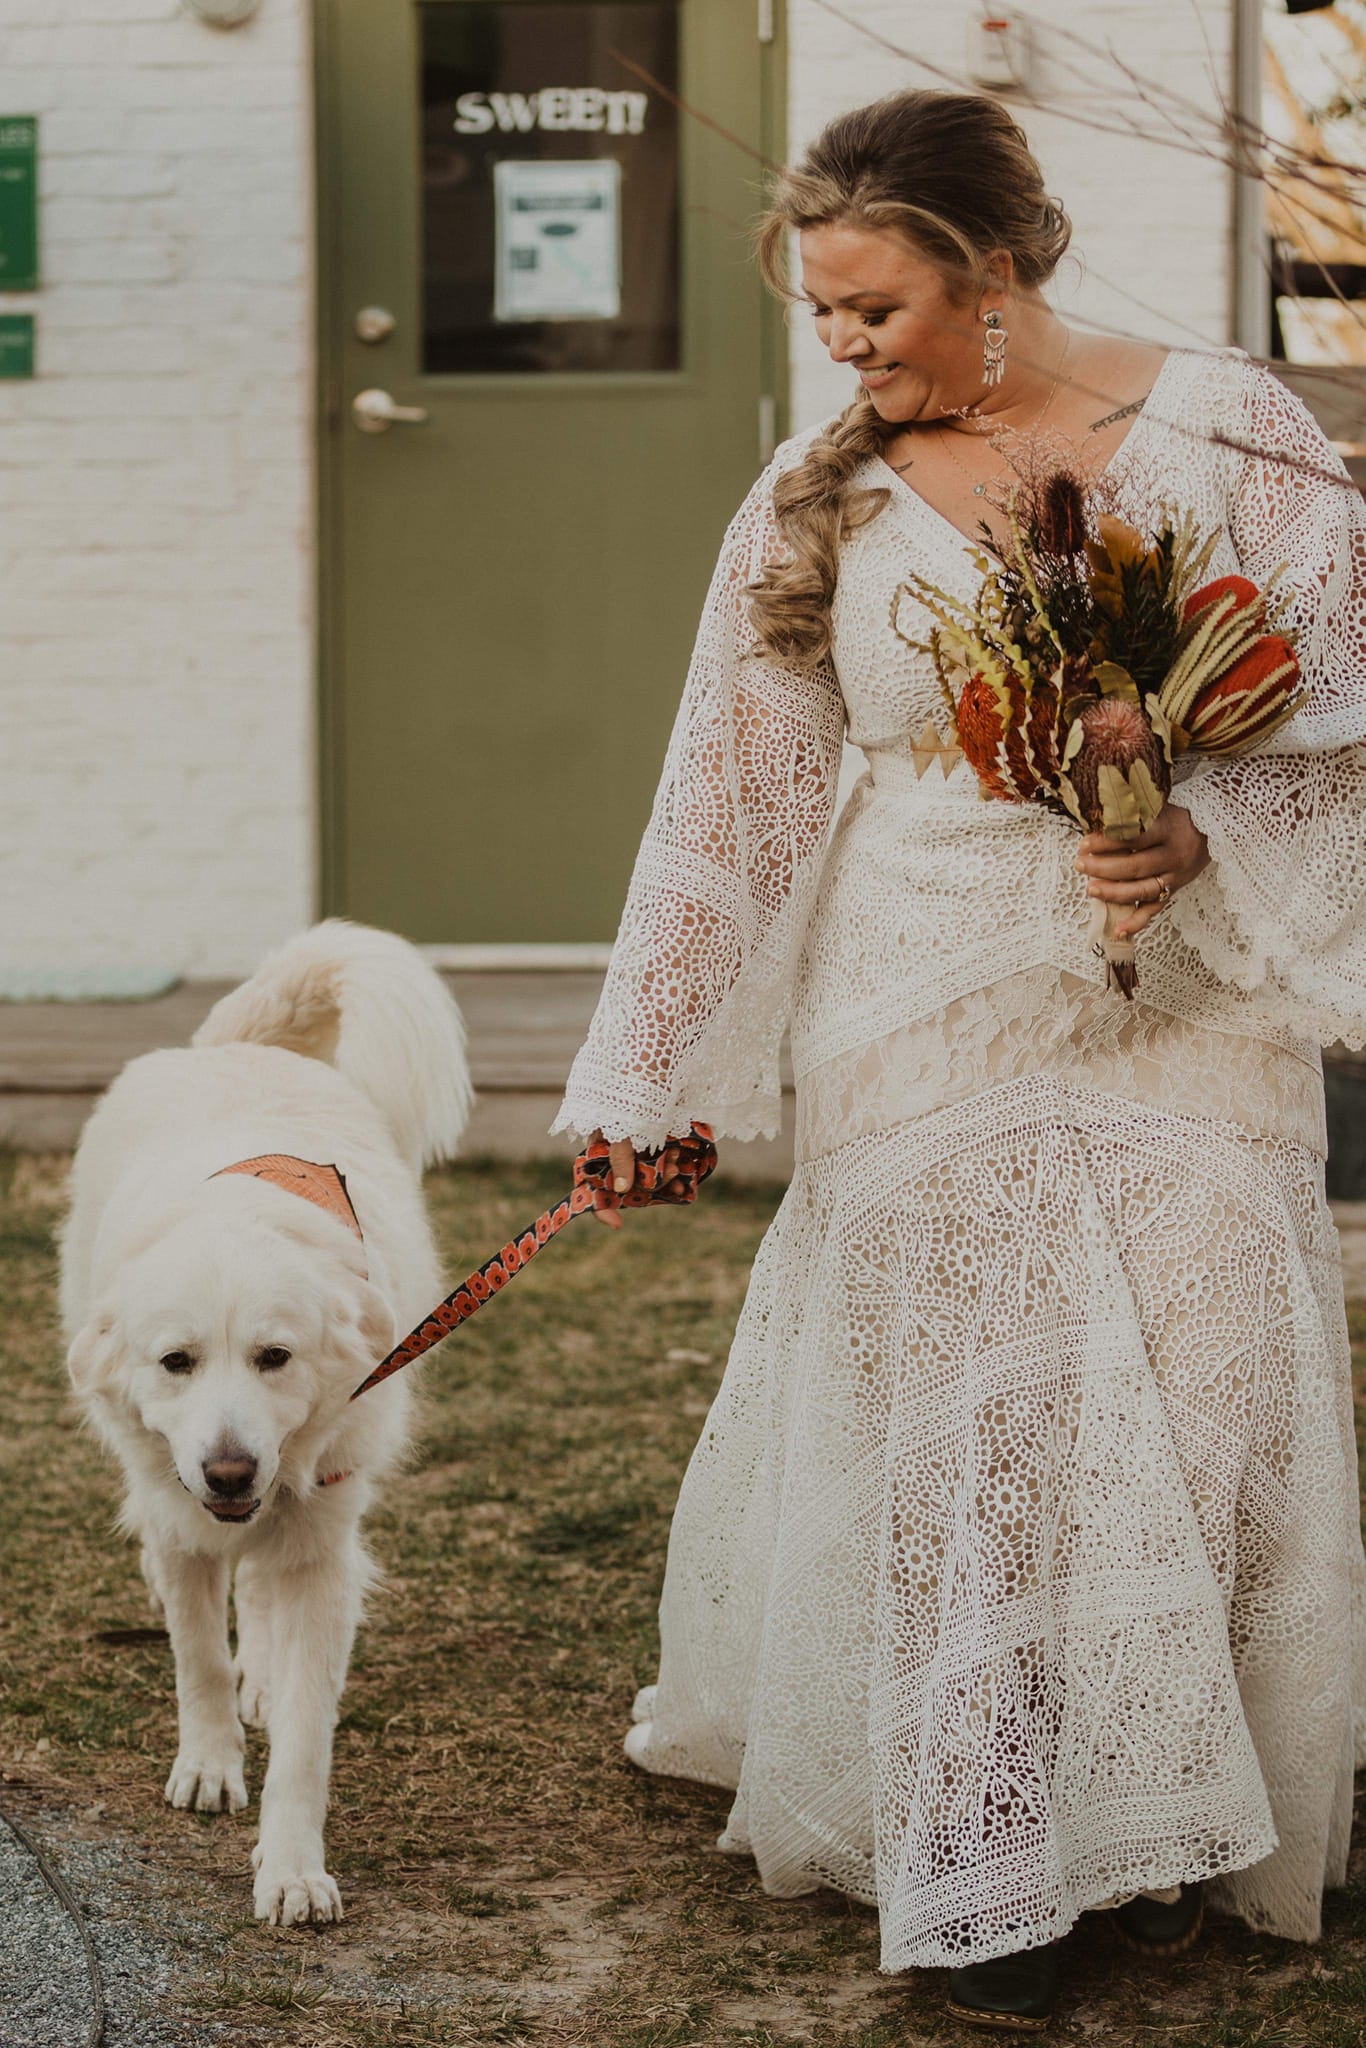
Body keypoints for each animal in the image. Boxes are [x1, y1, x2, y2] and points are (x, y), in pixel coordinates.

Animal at [60, 920, 471, 1925]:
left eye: (274, 1358)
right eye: (176, 1362)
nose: (231, 1472)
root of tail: (234, 1046)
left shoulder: (320, 1546)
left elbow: (305, 1739)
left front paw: (290, 1867)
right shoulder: (182, 1521)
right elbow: (197, 1656)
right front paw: (209, 1764)